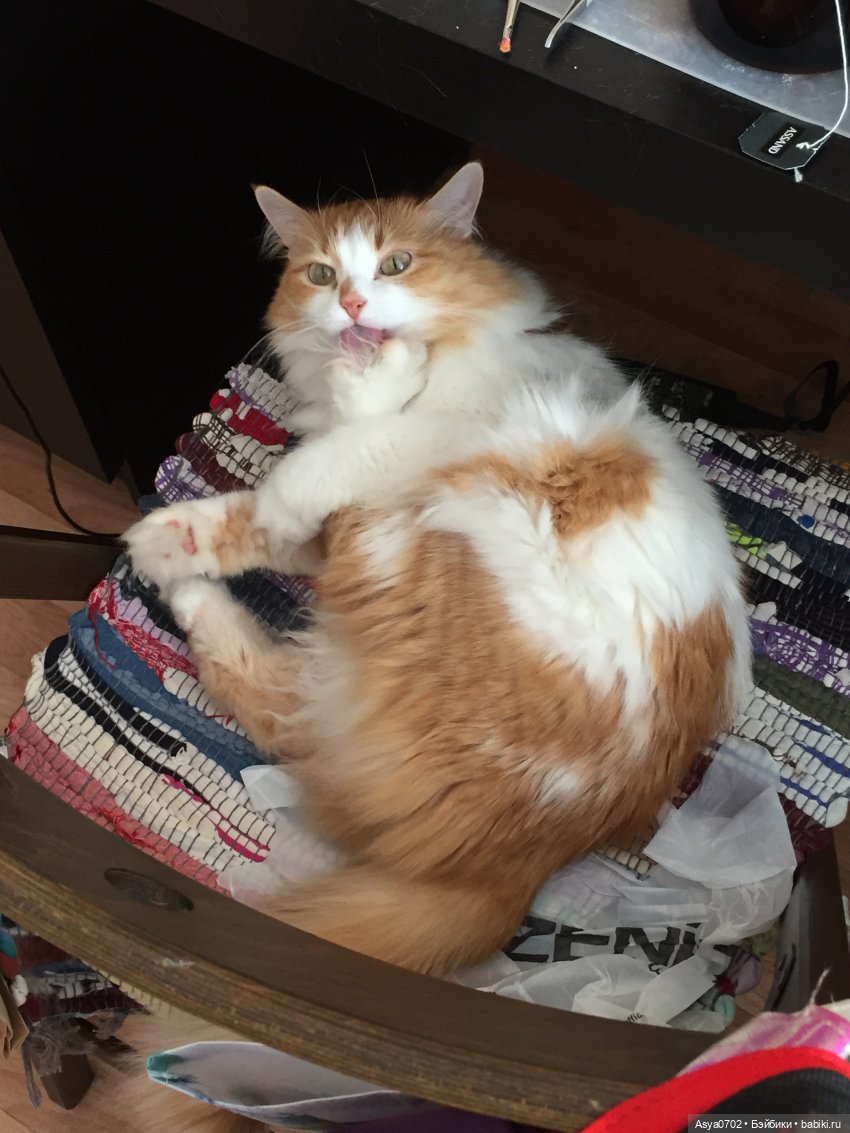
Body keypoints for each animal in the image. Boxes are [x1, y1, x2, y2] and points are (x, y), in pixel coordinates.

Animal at [118, 161, 751, 1129]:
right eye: (318, 273)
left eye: (396, 263)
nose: (350, 304)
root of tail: (526, 853)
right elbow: (268, 518)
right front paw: (189, 529)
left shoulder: (416, 441)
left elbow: (313, 475)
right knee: (274, 693)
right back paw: (168, 554)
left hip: (438, 523)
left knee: (273, 678)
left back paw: (181, 563)